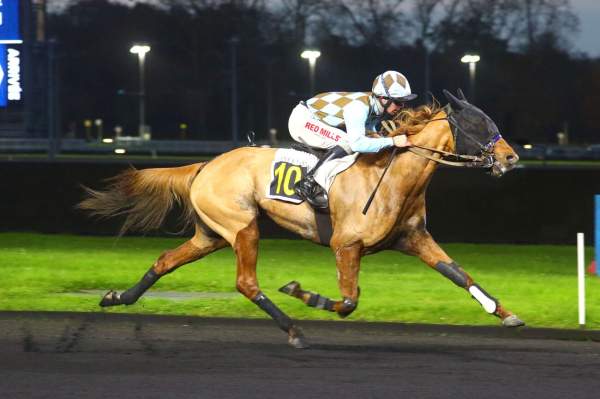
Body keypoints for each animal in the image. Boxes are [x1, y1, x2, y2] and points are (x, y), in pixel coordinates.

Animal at [81, 91, 524, 350]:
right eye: (479, 124)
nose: (510, 157)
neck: (396, 176)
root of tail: (206, 164)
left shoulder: (413, 239)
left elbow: (460, 275)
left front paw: (507, 314)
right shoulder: (346, 245)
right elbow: (348, 300)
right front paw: (304, 292)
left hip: (212, 234)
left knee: (164, 261)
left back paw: (117, 297)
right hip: (242, 227)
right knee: (246, 282)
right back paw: (293, 329)